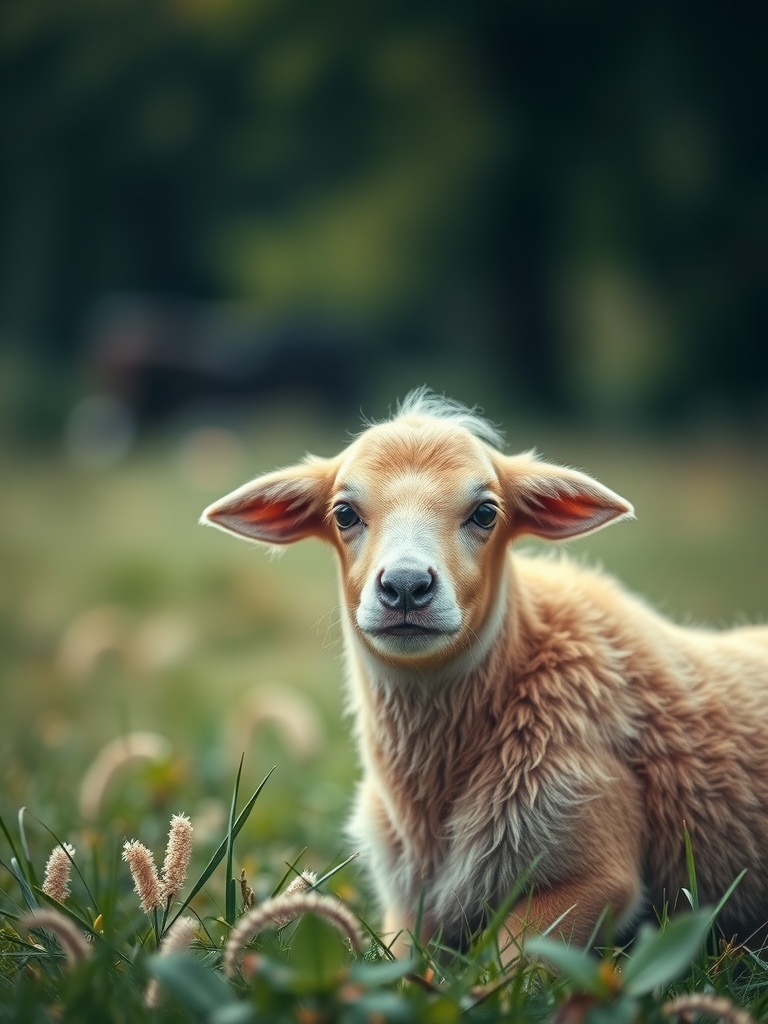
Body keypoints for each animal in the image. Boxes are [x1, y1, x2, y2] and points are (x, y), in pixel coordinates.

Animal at [202, 389, 768, 958]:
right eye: (344, 513)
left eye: (484, 512)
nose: (405, 587)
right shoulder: (406, 909)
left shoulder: (591, 867)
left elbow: (507, 962)